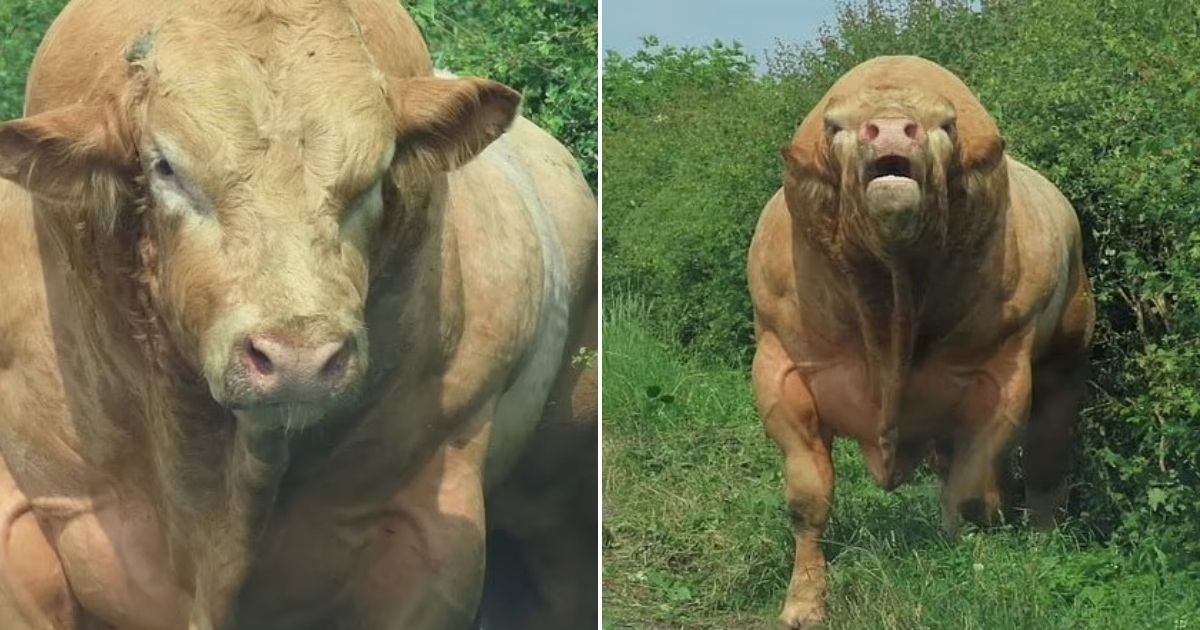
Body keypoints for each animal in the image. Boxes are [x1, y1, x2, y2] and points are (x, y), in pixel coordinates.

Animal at [748, 56, 1099, 624]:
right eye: (835, 126)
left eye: (947, 125)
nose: (892, 129)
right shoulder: (782, 372)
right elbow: (808, 500)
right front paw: (802, 604)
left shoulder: (998, 380)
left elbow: (970, 496)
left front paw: (974, 578)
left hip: (1064, 363)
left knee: (1045, 462)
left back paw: (1044, 545)